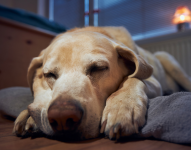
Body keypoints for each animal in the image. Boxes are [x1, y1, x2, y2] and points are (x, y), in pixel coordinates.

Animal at [12, 26, 191, 140]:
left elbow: (133, 78)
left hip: (169, 60)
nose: (62, 118)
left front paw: (122, 106)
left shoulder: (151, 79)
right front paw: (28, 116)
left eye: (98, 68)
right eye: (49, 74)